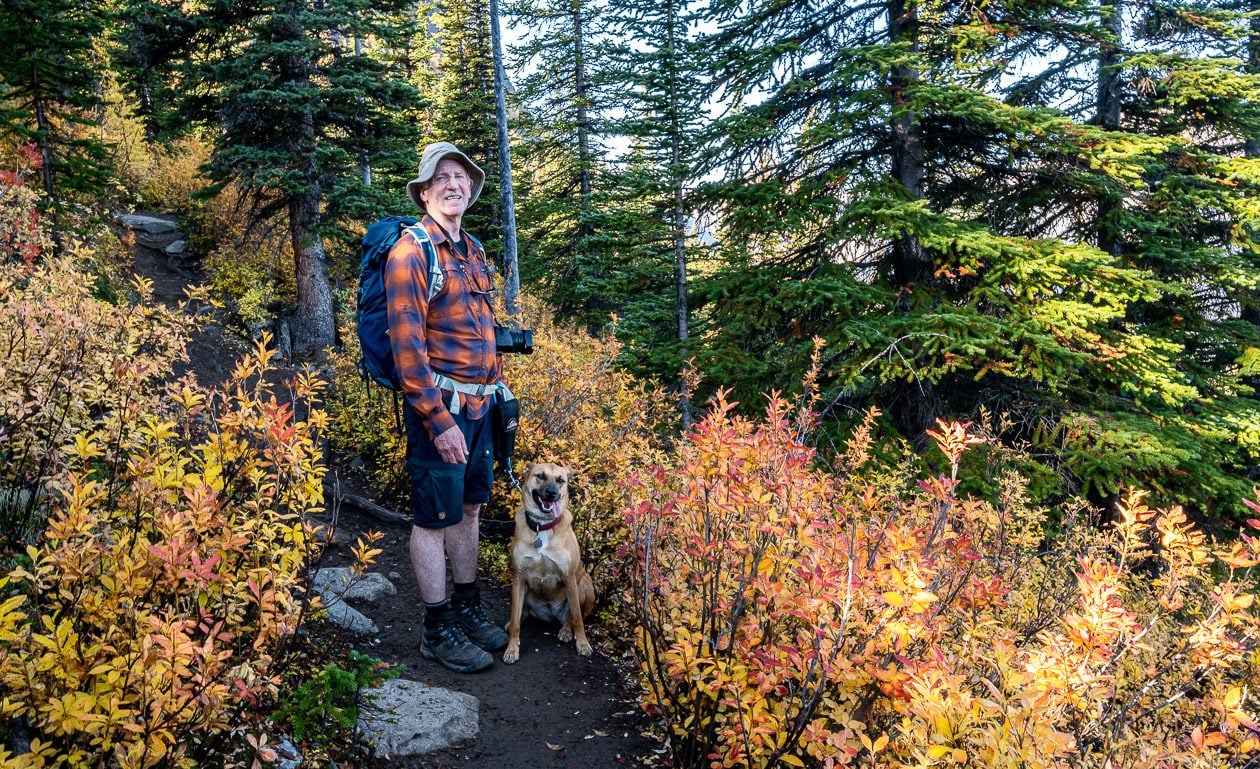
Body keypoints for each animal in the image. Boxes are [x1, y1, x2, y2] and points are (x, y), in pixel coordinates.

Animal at [501, 458, 594, 660]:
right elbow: (515, 621)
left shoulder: (568, 577)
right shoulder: (518, 577)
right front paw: (512, 648)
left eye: (560, 480)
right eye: (541, 476)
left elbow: (578, 617)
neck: (541, 527)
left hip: (584, 584)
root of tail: (550, 613)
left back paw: (566, 630)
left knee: (574, 616)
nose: (552, 494)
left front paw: (583, 643)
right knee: (521, 613)